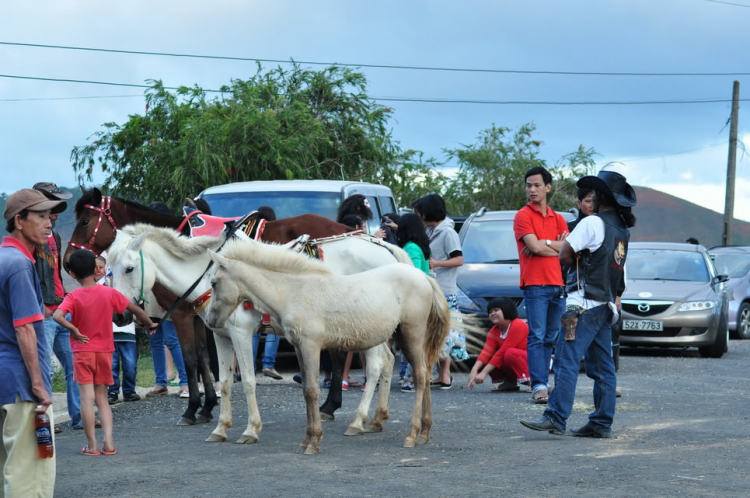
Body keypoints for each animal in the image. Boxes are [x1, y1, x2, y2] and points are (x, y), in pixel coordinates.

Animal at [63, 187, 356, 424]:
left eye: (85, 221)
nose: (68, 260)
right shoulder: (198, 316)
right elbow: (204, 358)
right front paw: (207, 407)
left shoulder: (182, 316)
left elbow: (190, 359)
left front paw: (193, 408)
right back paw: (330, 405)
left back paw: (330, 405)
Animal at [107, 225, 412, 444]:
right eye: (110, 269)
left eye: (130, 268)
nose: (119, 316)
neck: (208, 276)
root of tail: (383, 246)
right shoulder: (220, 335)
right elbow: (225, 382)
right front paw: (220, 427)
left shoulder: (241, 333)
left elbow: (248, 381)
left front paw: (250, 429)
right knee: (387, 362)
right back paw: (376, 419)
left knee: (375, 366)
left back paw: (358, 421)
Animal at [204, 239, 452, 454]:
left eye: (214, 283)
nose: (211, 321)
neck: (294, 292)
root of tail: (423, 277)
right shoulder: (299, 348)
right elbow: (306, 390)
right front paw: (306, 440)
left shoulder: (311, 346)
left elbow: (312, 390)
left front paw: (314, 441)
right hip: (401, 335)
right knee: (423, 373)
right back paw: (424, 432)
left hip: (412, 334)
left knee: (419, 375)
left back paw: (411, 434)